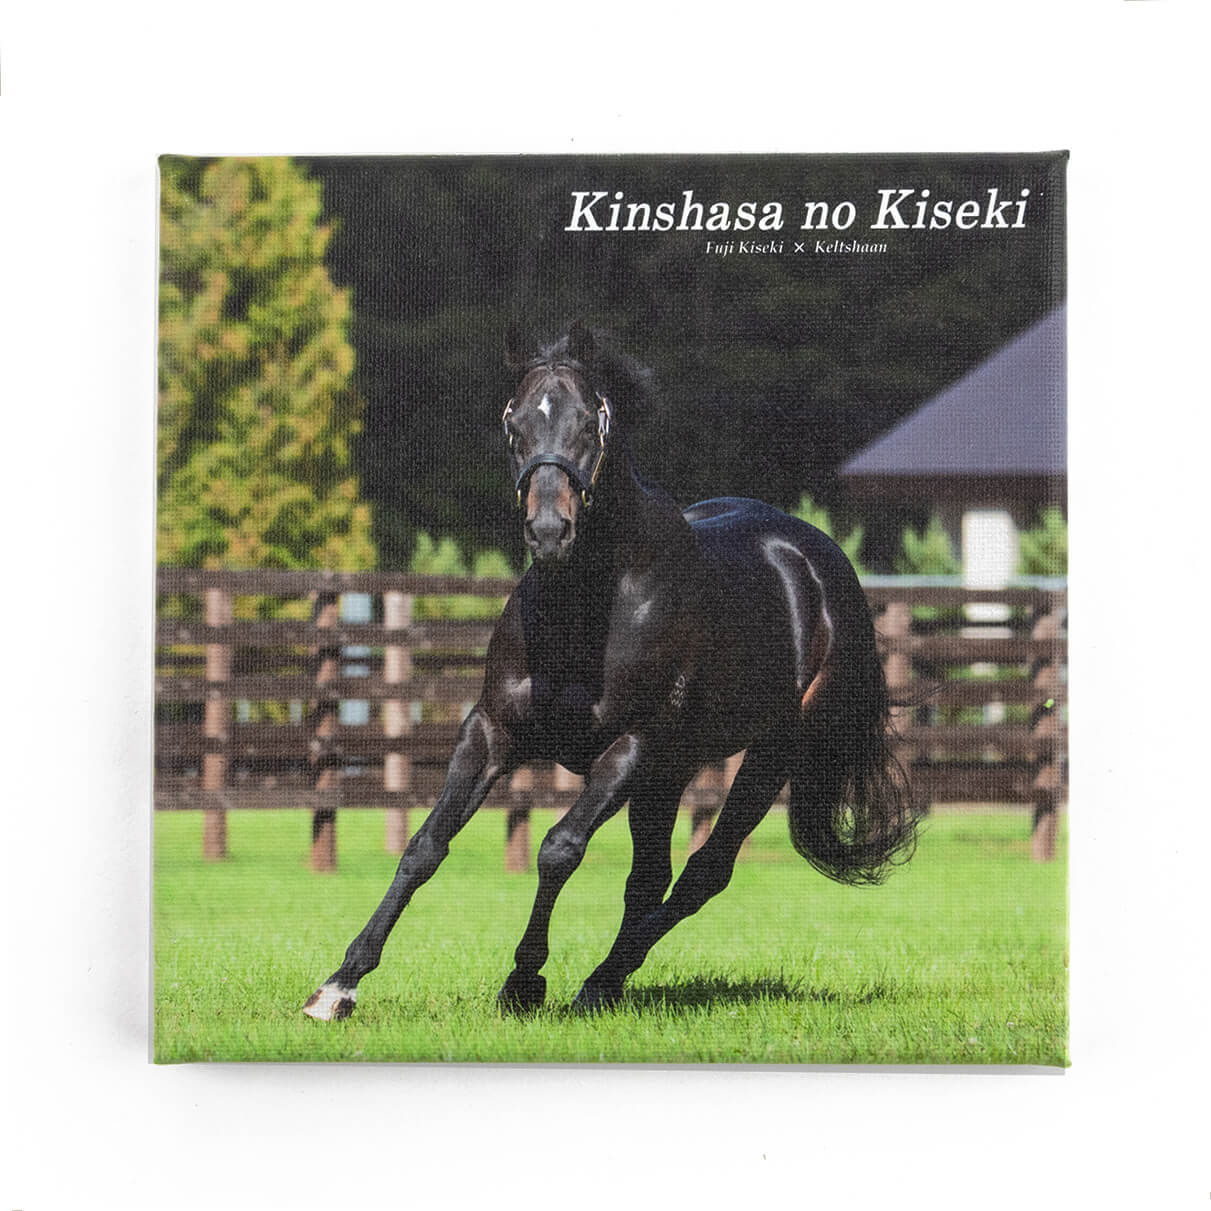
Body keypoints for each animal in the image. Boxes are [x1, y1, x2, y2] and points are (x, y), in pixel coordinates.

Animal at [304, 321, 918, 1021]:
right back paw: (607, 983)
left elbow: (558, 849)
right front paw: (340, 983)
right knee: (650, 879)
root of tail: (819, 563)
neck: (588, 605)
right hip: (673, 770)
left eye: (590, 424)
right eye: (513, 420)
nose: (549, 530)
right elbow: (426, 846)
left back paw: (601, 981)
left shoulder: (631, 746)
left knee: (704, 872)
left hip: (769, 754)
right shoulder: (491, 731)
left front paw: (524, 981)